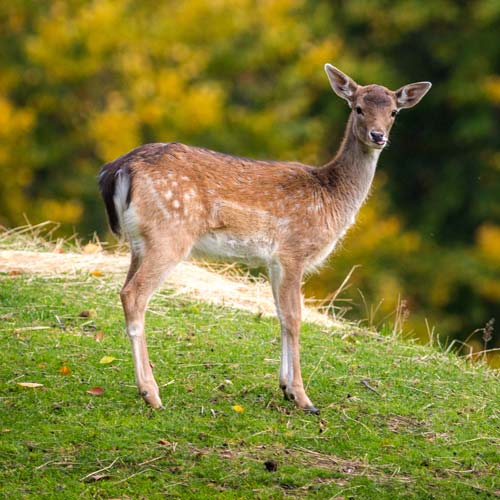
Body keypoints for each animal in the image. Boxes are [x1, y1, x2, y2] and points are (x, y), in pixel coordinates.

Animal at [97, 62, 430, 414]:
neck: (331, 198)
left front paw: (284, 387)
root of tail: (119, 169)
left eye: (394, 112)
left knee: (125, 288)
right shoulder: (293, 251)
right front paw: (303, 397)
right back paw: (151, 393)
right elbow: (295, 318)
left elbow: (280, 315)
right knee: (133, 294)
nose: (378, 136)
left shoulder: (273, 262)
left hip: (140, 241)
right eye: (358, 108)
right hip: (169, 235)